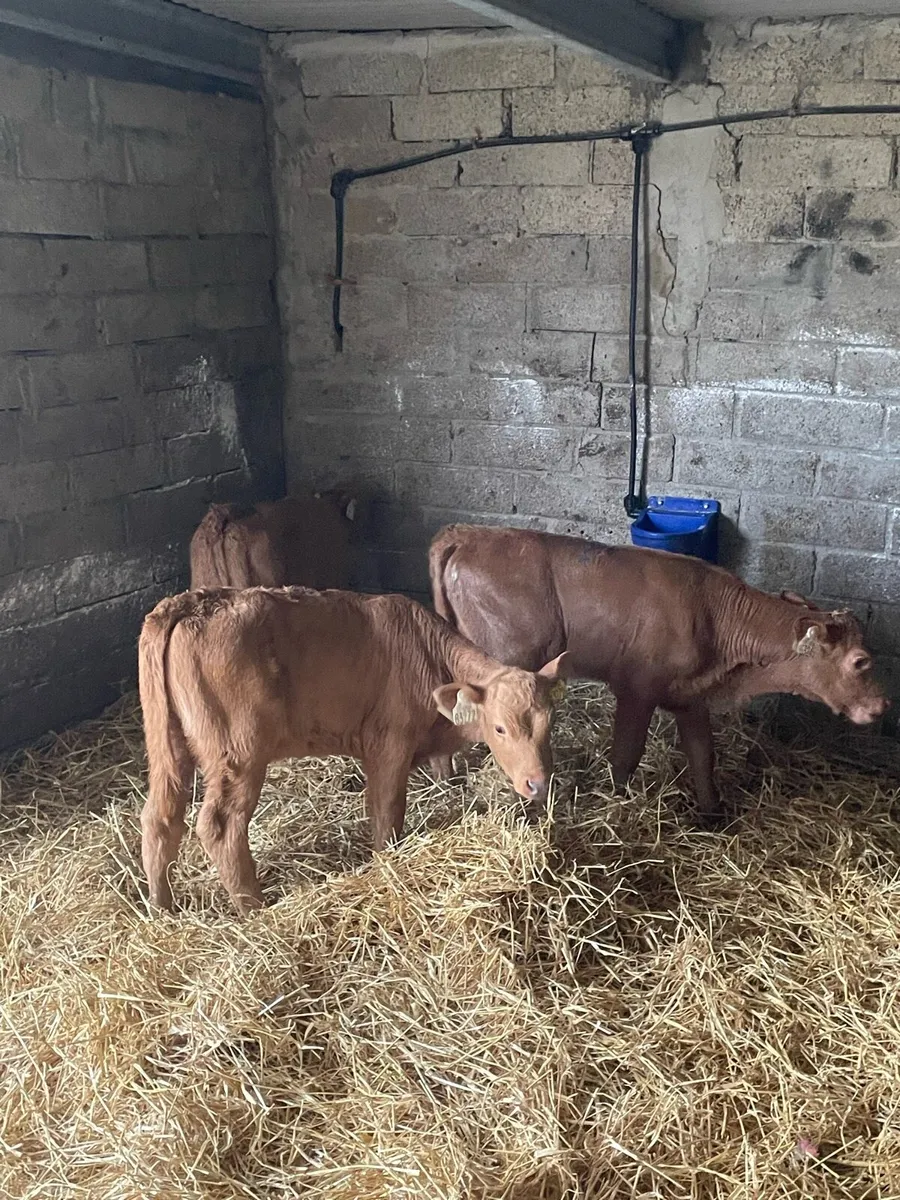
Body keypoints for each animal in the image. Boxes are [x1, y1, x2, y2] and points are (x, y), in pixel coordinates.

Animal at [138, 585, 570, 914]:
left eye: (551, 722)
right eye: (499, 728)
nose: (538, 783)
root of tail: (189, 603)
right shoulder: (390, 743)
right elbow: (387, 812)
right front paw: (387, 863)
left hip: (166, 744)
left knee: (160, 817)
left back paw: (162, 907)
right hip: (238, 753)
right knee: (220, 826)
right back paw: (254, 907)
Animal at [428, 524, 889, 827]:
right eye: (860, 661)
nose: (881, 705)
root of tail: (466, 534)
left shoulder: (691, 695)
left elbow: (703, 755)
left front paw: (712, 814)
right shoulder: (637, 690)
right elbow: (626, 755)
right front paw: (616, 804)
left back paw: (448, 780)